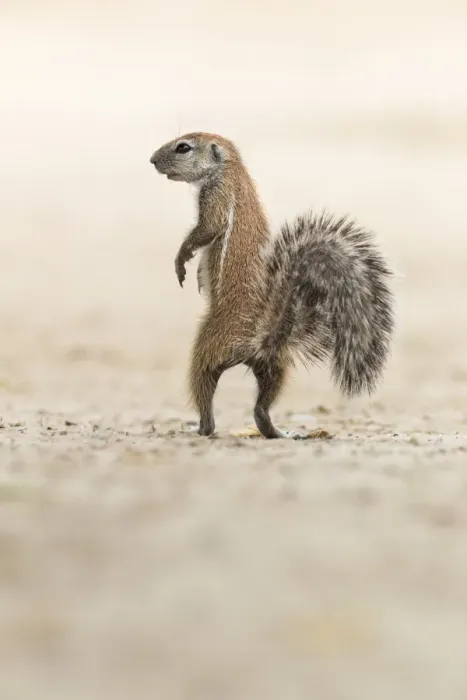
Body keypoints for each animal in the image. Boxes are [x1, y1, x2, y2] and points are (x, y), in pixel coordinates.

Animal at [149, 132, 394, 439]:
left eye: (183, 147)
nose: (152, 160)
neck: (231, 170)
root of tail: (261, 337)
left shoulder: (216, 199)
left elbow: (205, 231)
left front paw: (182, 261)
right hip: (275, 367)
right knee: (261, 408)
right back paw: (279, 433)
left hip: (207, 346)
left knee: (205, 387)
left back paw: (200, 428)